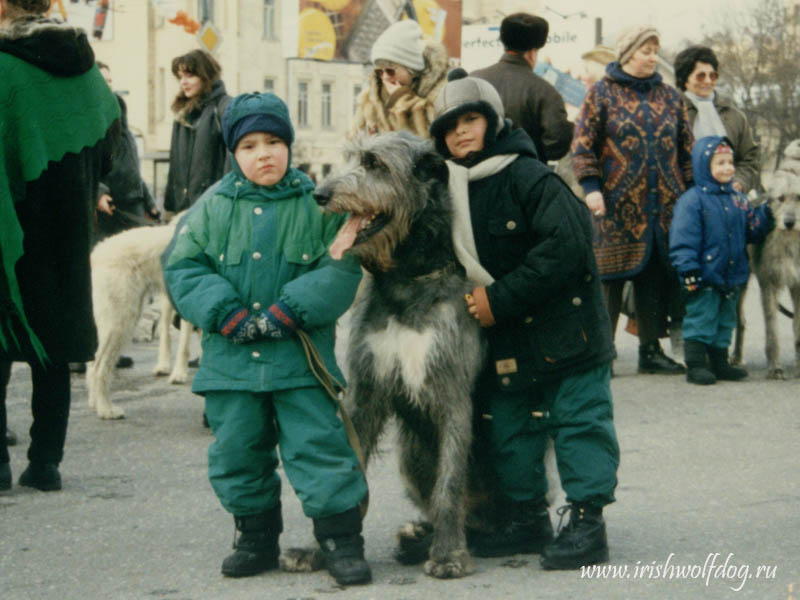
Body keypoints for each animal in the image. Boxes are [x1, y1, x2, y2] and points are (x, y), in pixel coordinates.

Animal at [314, 130, 488, 576]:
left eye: (374, 163)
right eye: (349, 158)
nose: (320, 194)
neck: (408, 281)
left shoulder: (451, 390)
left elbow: (449, 484)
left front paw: (448, 554)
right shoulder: (365, 390)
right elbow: (350, 469)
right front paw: (320, 548)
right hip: (410, 455)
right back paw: (418, 535)